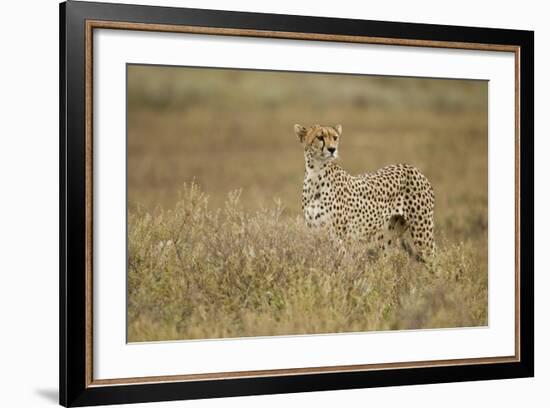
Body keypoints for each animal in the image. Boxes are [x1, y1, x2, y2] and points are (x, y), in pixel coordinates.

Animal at [296, 122, 438, 260]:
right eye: (320, 137)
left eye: (335, 138)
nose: (332, 149)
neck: (316, 173)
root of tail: (413, 168)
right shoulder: (314, 231)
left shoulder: (338, 238)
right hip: (387, 237)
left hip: (422, 233)